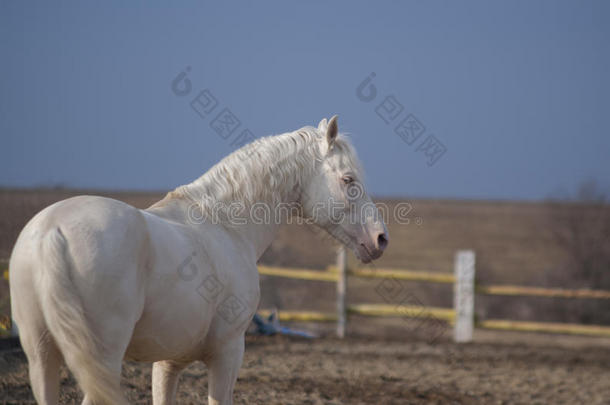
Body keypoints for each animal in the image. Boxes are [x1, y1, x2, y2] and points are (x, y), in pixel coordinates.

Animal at [9, 115, 384, 402]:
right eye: (348, 179)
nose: (381, 239)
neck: (225, 225)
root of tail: (52, 231)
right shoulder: (228, 354)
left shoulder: (167, 363)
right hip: (101, 360)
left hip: (42, 358)